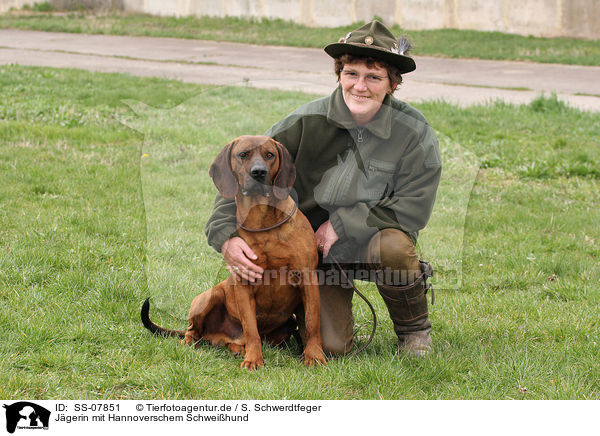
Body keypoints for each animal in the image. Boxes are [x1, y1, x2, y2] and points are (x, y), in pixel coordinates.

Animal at [141, 135, 326, 370]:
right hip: (208, 297)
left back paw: (238, 348)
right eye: (243, 154)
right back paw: (194, 345)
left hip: (286, 324)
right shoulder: (244, 283)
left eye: (269, 155)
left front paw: (314, 355)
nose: (259, 172)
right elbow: (251, 329)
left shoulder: (308, 279)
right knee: (194, 331)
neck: (263, 222)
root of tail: (215, 335)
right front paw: (254, 359)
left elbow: (312, 323)